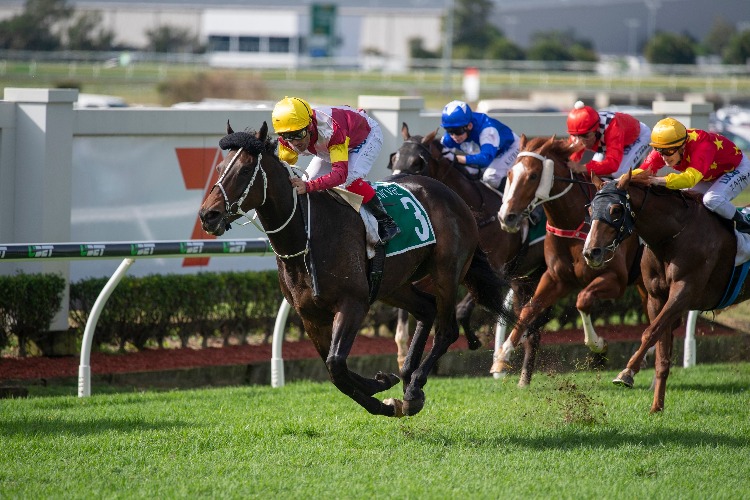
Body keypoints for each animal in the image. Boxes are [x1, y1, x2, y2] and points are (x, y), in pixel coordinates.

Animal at [200, 122, 516, 418]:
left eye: (245, 170)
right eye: (219, 167)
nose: (208, 215)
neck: (307, 235)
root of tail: (455, 197)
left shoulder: (352, 303)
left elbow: (336, 364)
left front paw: (384, 391)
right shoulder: (310, 316)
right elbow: (334, 371)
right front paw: (383, 387)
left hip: (446, 274)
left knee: (447, 330)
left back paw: (414, 387)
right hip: (393, 285)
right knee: (426, 309)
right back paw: (407, 376)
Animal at [390, 124, 548, 382]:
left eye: (417, 163)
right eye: (394, 158)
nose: (395, 182)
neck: (480, 213)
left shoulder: (491, 268)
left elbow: (463, 309)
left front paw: (473, 341)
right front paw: (403, 350)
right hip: (524, 276)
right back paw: (523, 374)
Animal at [496, 135, 648, 384]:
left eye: (533, 175)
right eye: (510, 174)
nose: (506, 217)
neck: (575, 224)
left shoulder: (616, 280)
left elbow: (583, 300)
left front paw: (599, 345)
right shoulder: (556, 279)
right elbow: (529, 308)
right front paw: (503, 354)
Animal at [584, 174, 744, 412]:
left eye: (616, 210)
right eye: (590, 209)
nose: (590, 252)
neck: (672, 238)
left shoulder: (684, 291)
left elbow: (650, 332)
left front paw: (627, 372)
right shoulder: (656, 297)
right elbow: (661, 348)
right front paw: (656, 406)